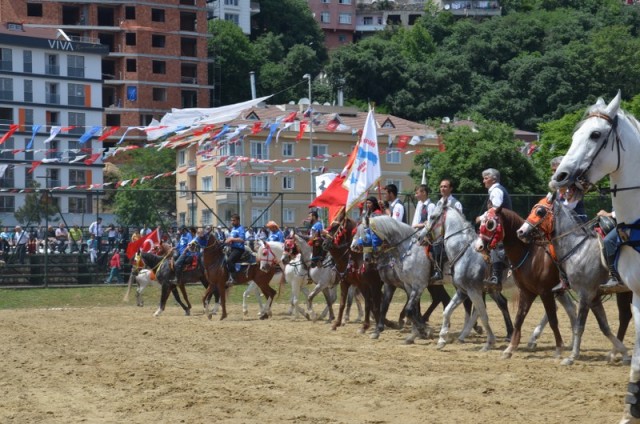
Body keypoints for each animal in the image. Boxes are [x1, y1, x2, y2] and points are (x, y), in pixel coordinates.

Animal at [352, 215, 432, 344]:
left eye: (366, 237)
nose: (366, 259)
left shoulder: (417, 285)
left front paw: (421, 330)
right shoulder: (389, 284)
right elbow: (384, 305)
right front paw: (377, 330)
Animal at [418, 202, 512, 352]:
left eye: (432, 216)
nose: (420, 238)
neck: (464, 253)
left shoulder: (473, 291)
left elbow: (483, 314)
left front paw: (489, 342)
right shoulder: (463, 291)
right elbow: (447, 311)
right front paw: (442, 339)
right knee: (502, 303)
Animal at [476, 208, 568, 358]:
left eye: (490, 224)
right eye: (480, 222)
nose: (479, 246)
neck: (531, 254)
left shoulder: (545, 292)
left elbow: (553, 319)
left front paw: (559, 348)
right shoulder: (527, 292)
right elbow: (519, 318)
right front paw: (510, 348)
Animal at [552, 91, 640, 422]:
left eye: (595, 134)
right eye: (575, 134)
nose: (560, 176)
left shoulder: (589, 291)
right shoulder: (633, 294)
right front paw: (630, 410)